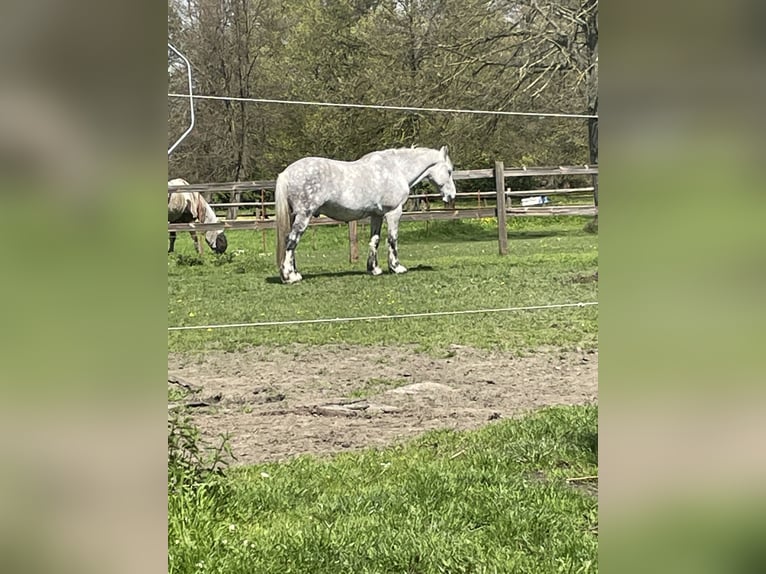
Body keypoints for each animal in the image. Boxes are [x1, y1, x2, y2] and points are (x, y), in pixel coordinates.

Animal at [275, 146, 456, 283]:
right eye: (449, 171)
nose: (452, 195)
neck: (396, 169)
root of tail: (286, 173)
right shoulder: (394, 212)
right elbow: (392, 239)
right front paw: (396, 267)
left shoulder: (376, 215)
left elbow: (374, 240)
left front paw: (374, 269)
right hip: (304, 215)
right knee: (291, 241)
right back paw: (289, 277)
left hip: (295, 215)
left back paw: (295, 273)